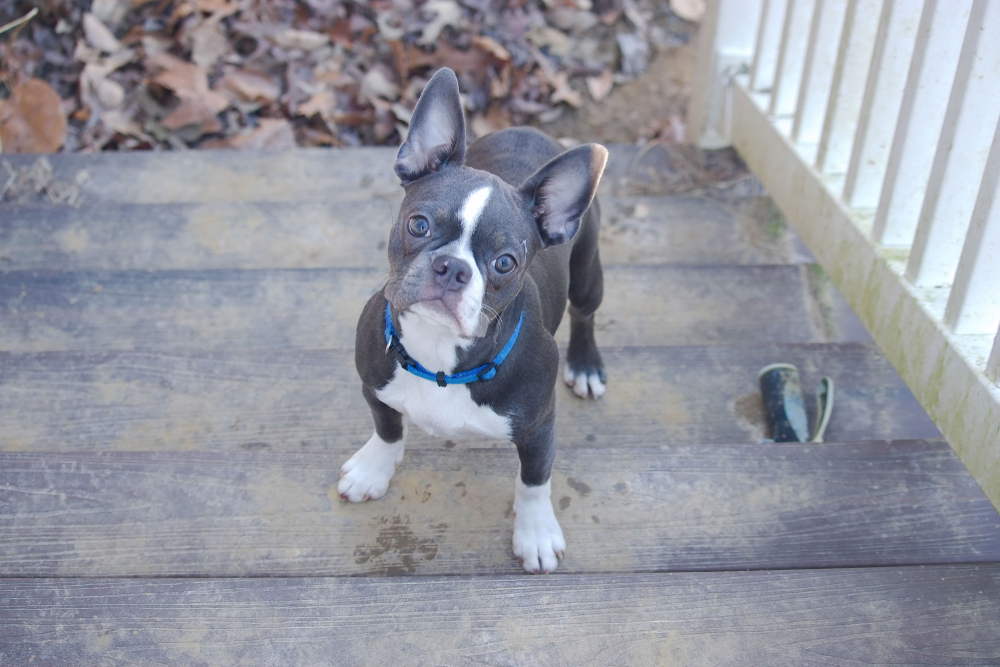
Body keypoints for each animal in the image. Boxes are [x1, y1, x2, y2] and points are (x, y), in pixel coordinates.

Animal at [338, 66, 608, 576]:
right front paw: (372, 470)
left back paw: (585, 365)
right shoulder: (373, 386)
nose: (453, 267)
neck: (440, 356)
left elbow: (534, 481)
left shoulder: (539, 427)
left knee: (585, 313)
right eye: (419, 224)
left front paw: (535, 534)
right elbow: (387, 429)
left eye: (505, 263)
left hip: (588, 270)